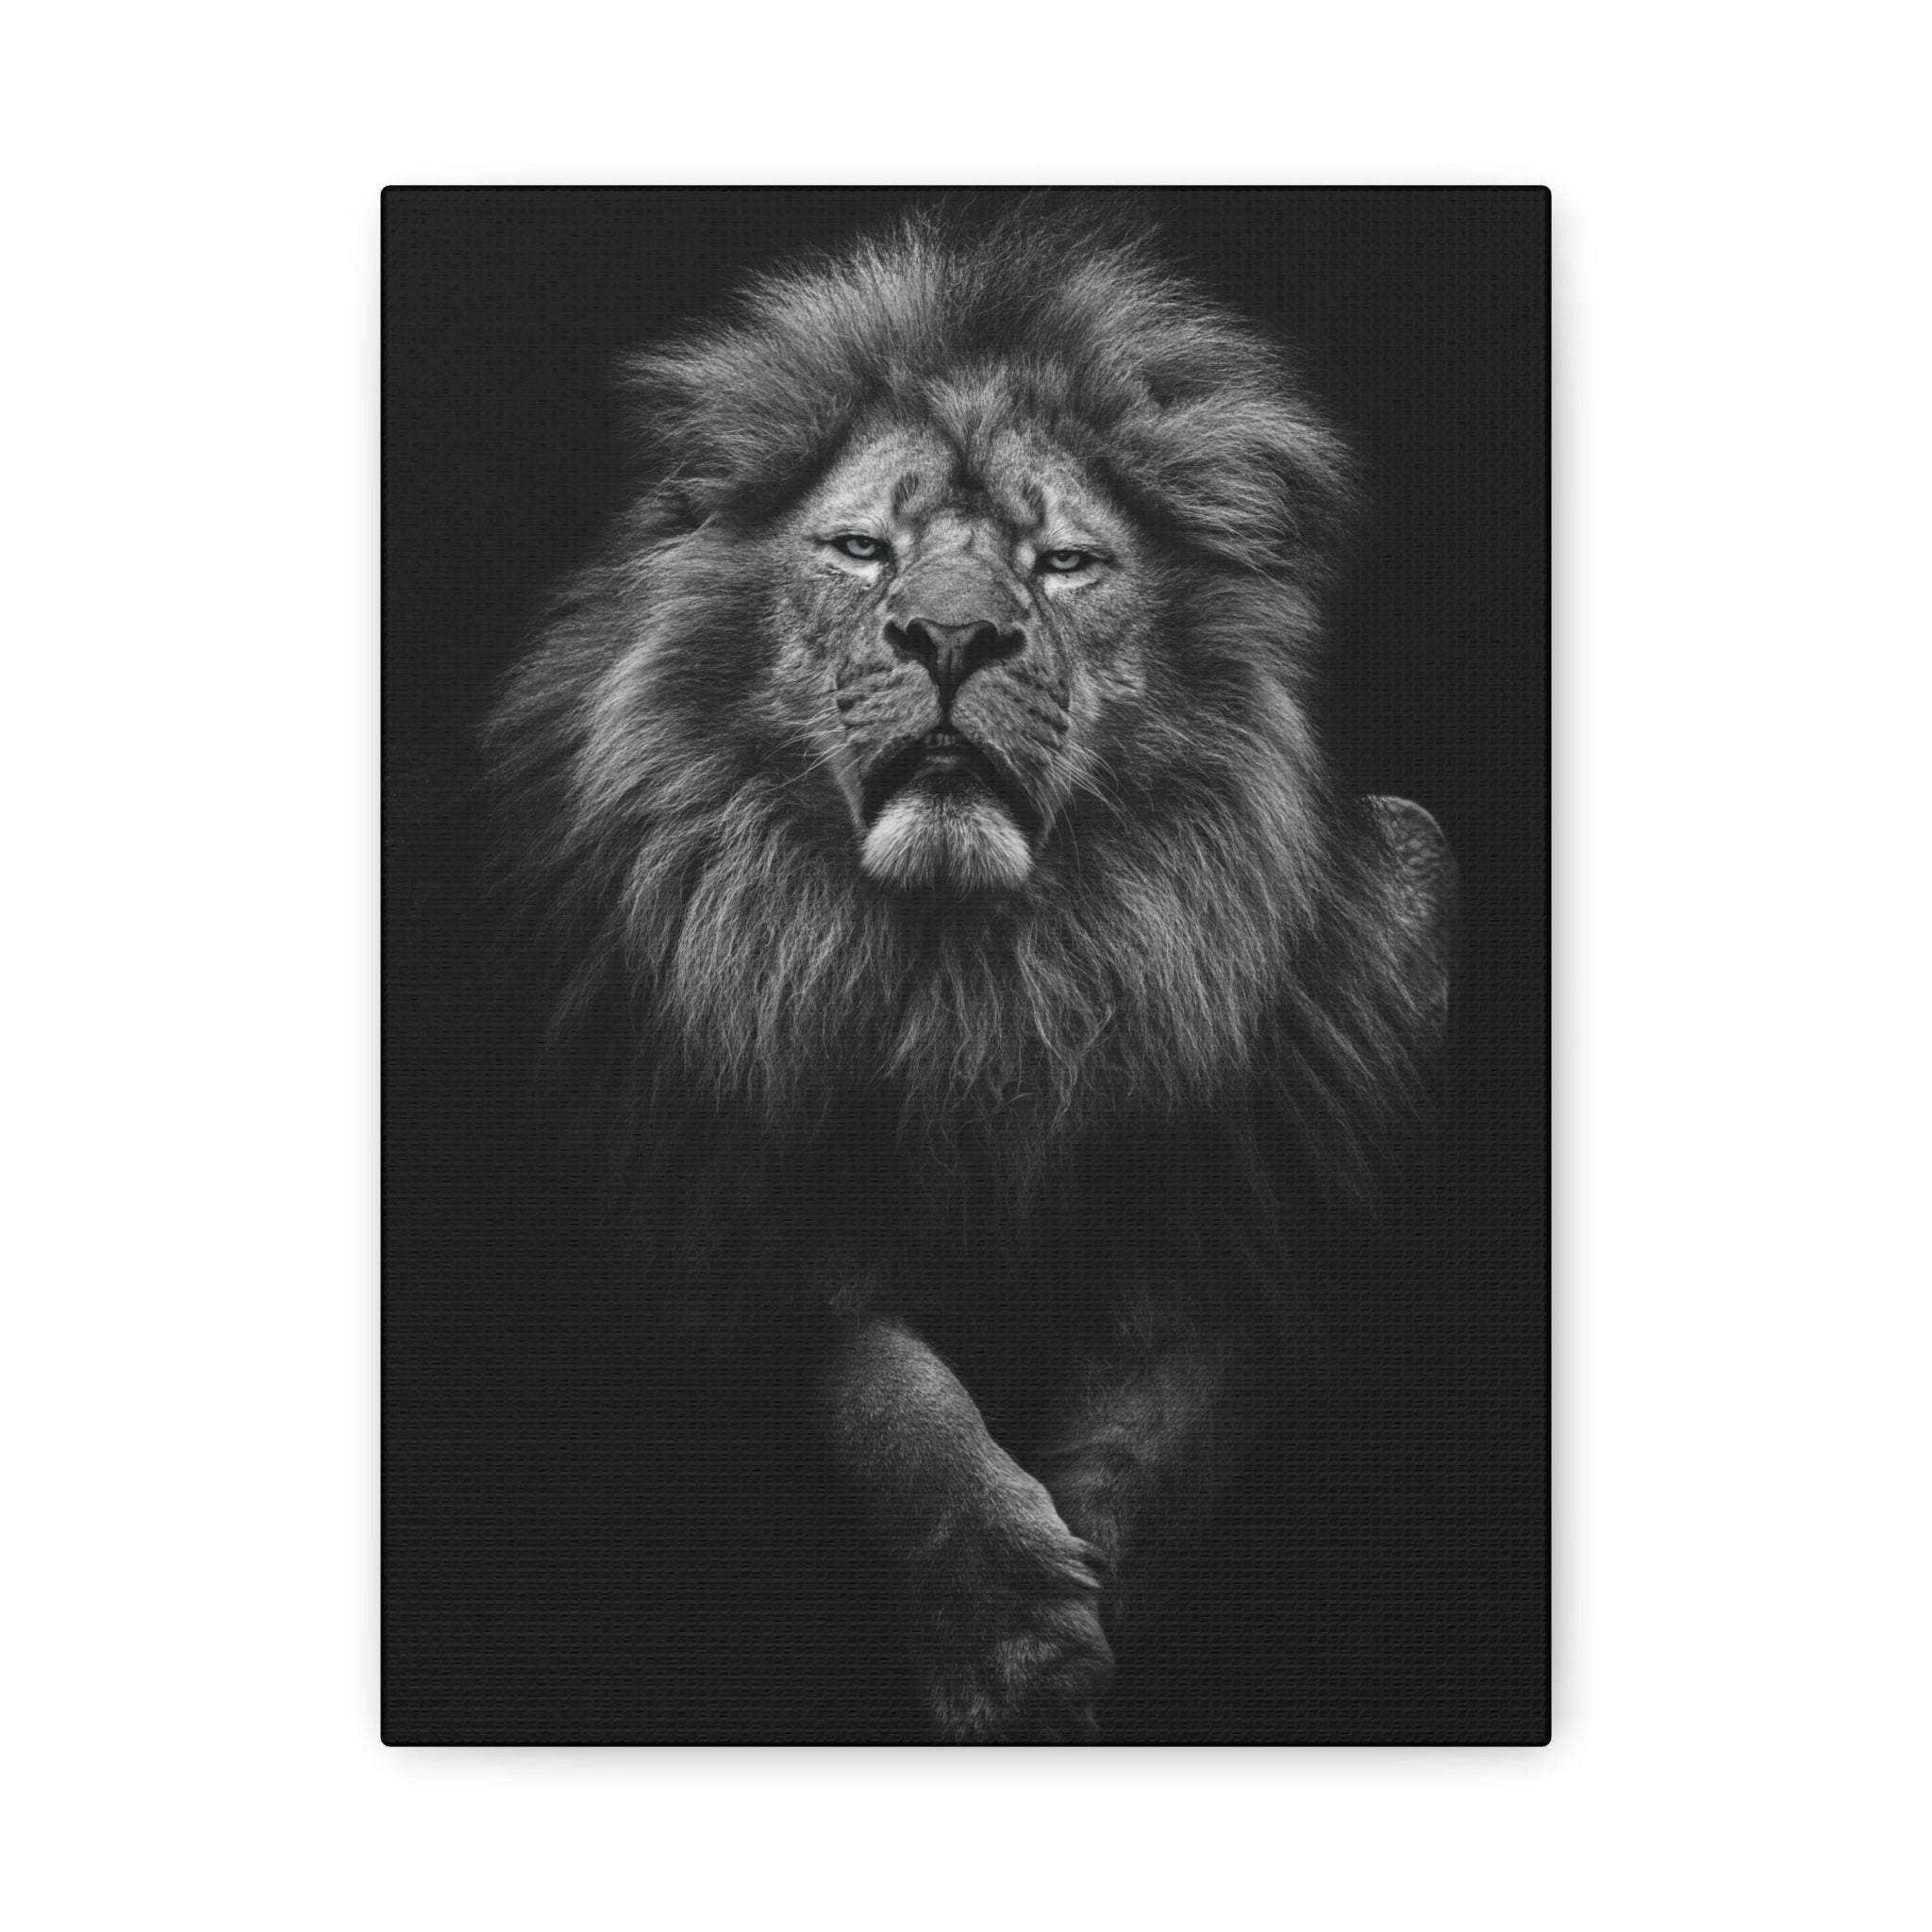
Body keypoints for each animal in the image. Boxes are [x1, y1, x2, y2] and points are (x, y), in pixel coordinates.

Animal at [483, 202, 1454, 1742]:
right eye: (860, 548)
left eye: (1062, 565)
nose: (950, 636)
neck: (972, 973)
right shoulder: (705, 1184)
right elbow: (883, 1383)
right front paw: (1008, 1631)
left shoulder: (1284, 1171)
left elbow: (1182, 1395)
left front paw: (1091, 1579)